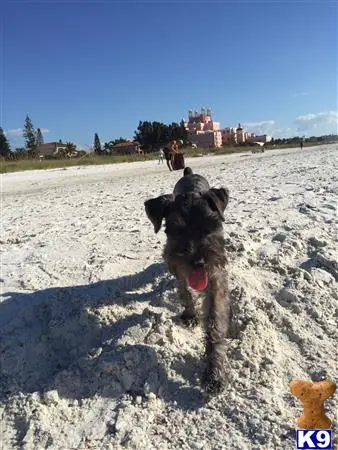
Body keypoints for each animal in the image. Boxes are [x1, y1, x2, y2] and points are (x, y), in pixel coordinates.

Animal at [144, 166, 231, 394]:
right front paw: (190, 313)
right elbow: (184, 291)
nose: (198, 262)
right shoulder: (179, 270)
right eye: (175, 230)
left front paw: (214, 371)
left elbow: (214, 321)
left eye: (212, 225)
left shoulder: (215, 279)